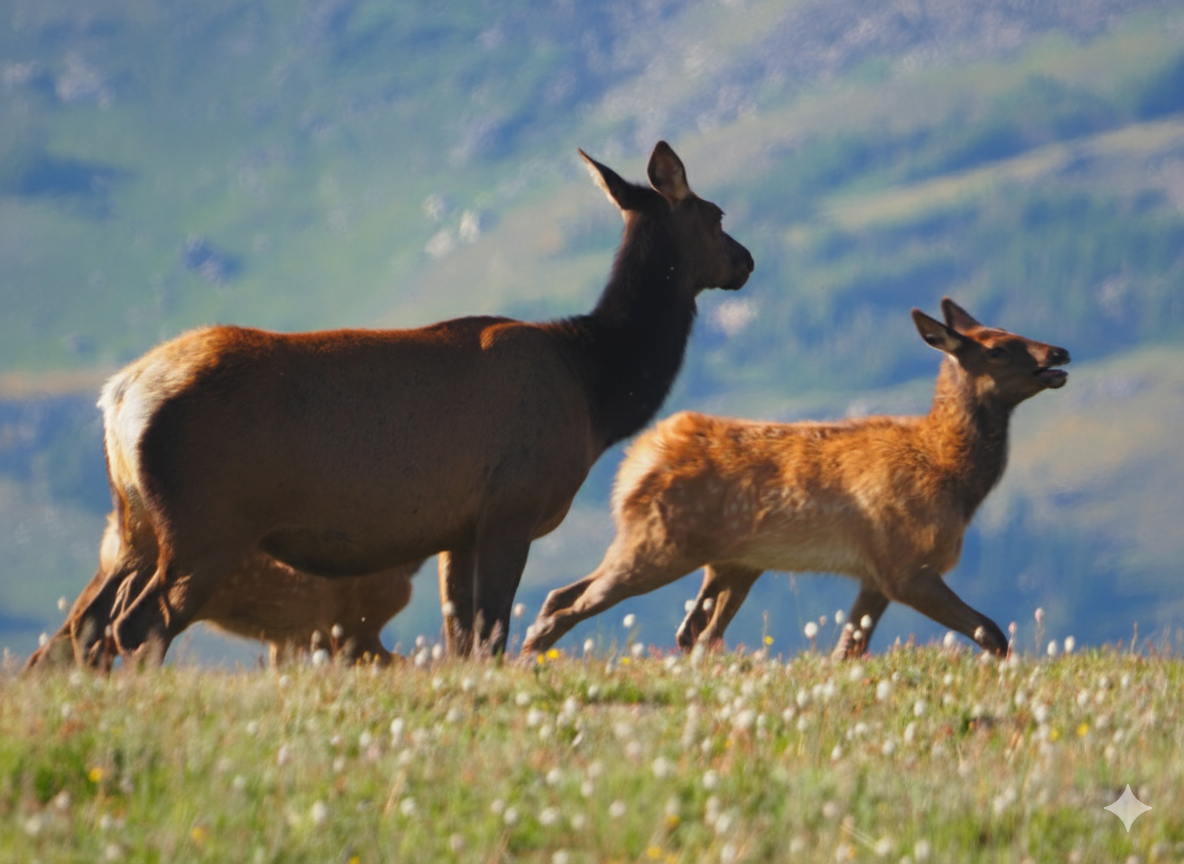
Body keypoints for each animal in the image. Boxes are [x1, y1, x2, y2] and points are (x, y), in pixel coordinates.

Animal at [67, 141, 753, 666]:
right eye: (717, 214)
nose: (747, 260)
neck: (595, 390)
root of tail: (120, 395)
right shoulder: (512, 507)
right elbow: (492, 636)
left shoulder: (458, 529)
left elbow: (460, 639)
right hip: (206, 523)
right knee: (140, 623)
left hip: (136, 527)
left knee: (90, 624)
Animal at [521, 299, 1069, 660]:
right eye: (997, 349)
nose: (1059, 353)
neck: (953, 477)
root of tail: (634, 467)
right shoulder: (906, 562)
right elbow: (991, 633)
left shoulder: (875, 574)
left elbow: (849, 649)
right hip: (659, 545)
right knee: (567, 609)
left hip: (722, 560)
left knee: (594, 605)